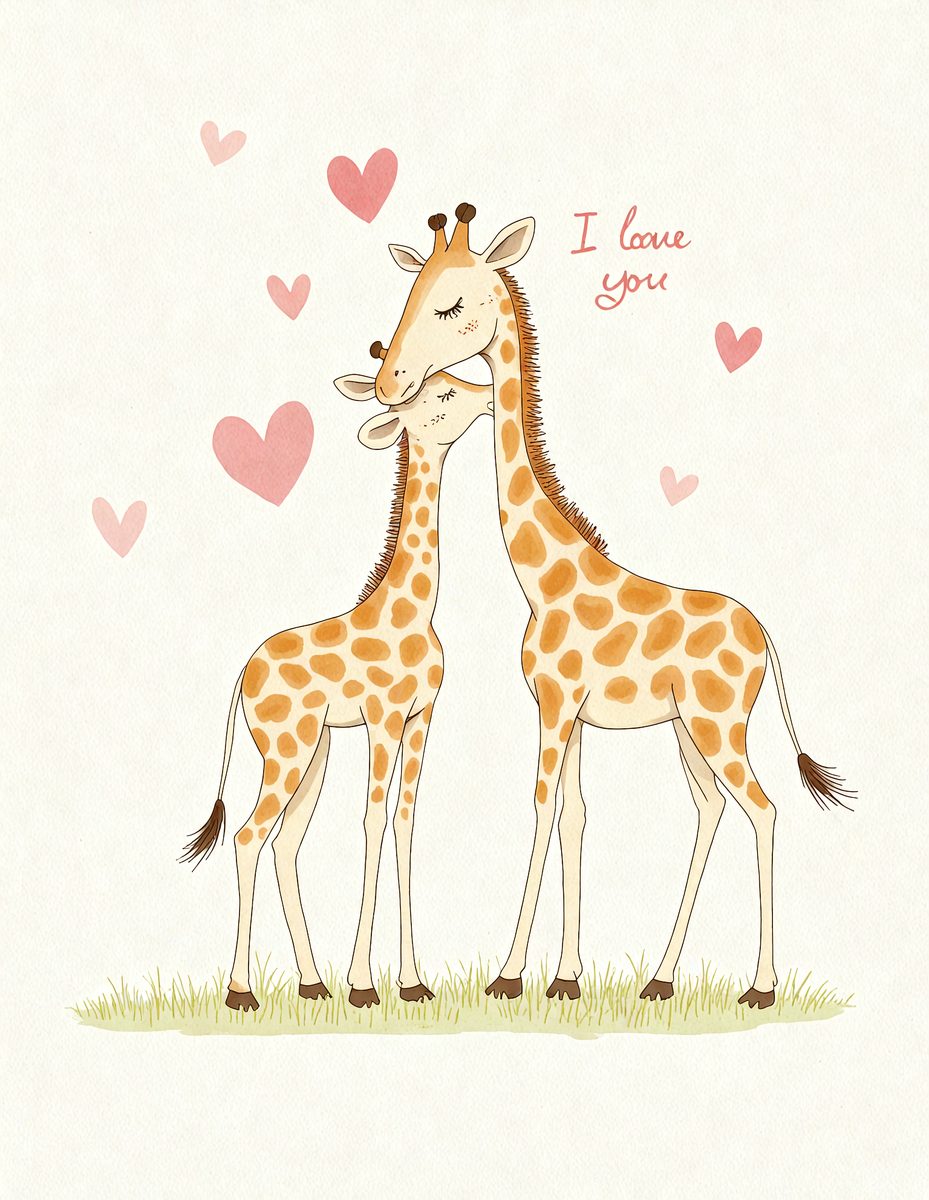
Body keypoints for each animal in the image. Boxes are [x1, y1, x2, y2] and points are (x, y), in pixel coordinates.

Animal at [181, 350, 492, 1010]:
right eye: (444, 395)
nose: (489, 397)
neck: (415, 609)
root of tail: (242, 675)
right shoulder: (383, 717)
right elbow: (371, 823)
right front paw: (365, 983)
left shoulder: (422, 715)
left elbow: (404, 822)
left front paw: (412, 982)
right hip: (287, 749)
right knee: (248, 837)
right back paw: (243, 991)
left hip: (314, 749)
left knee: (284, 843)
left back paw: (311, 982)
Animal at [370, 203, 853, 1008]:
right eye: (407, 293)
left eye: (450, 303)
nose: (387, 380)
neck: (543, 579)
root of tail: (764, 638)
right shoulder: (566, 709)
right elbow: (575, 817)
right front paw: (565, 976)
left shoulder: (558, 706)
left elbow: (541, 811)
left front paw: (509, 974)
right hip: (690, 729)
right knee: (712, 809)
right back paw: (660, 977)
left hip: (720, 725)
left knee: (762, 808)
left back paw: (760, 986)